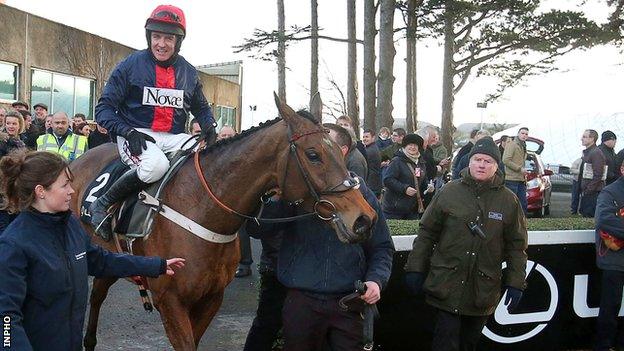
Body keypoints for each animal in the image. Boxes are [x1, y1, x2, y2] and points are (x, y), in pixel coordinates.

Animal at [70, 95, 378, 350]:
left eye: (339, 151)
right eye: (313, 155)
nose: (364, 219)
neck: (200, 207)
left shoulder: (211, 298)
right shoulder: (171, 302)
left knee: (97, 292)